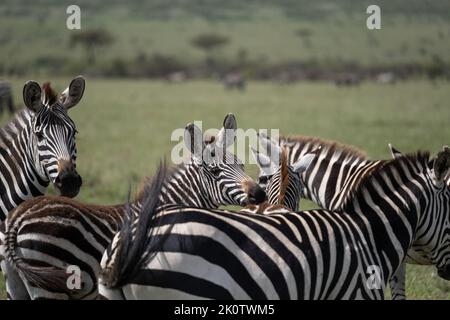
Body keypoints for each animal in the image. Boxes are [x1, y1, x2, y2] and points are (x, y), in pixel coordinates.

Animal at [1, 113, 266, 300]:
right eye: (214, 171)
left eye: (241, 164)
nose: (259, 193)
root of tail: (17, 219)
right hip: (49, 283)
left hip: (17, 283)